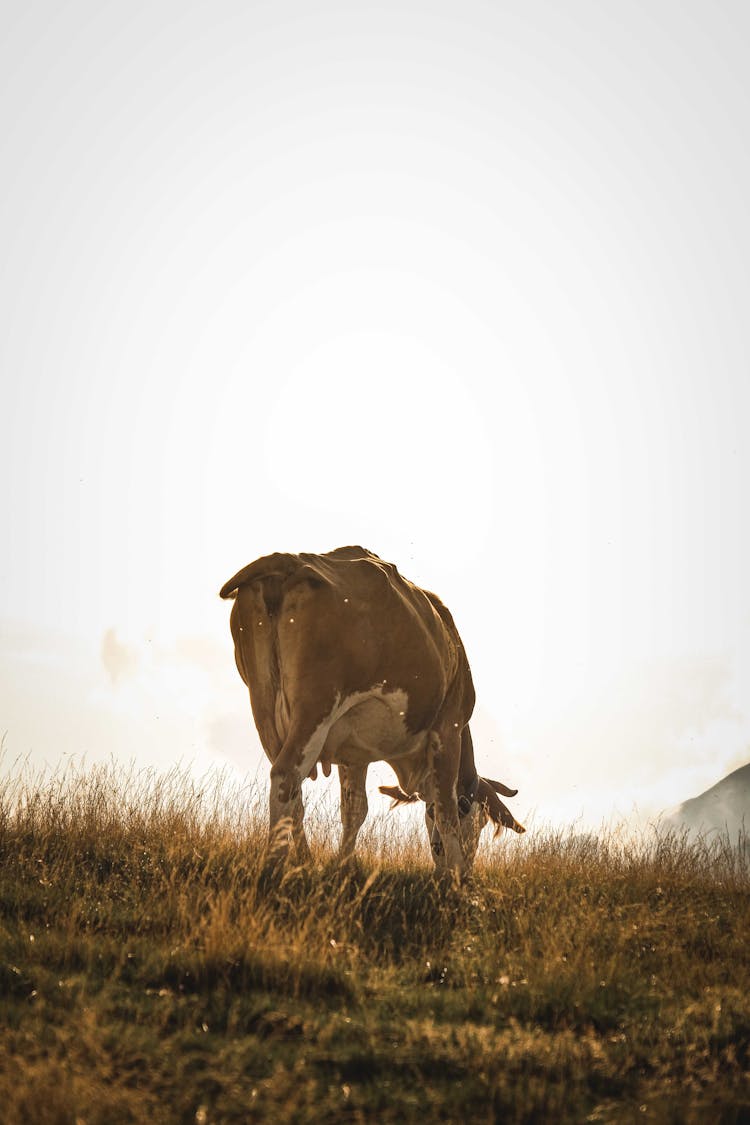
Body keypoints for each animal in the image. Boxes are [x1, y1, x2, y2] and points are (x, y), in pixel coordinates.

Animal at [220, 546, 526, 877]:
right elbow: (446, 811)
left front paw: (342, 864)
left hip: (263, 704)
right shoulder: (449, 728)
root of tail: (291, 559)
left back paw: (305, 860)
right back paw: (273, 863)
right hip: (316, 706)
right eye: (478, 820)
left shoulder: (353, 753)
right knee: (286, 776)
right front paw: (456, 876)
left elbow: (355, 809)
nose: (466, 867)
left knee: (293, 795)